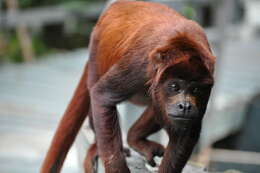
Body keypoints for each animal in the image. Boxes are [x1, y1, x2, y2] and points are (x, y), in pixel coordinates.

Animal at [41, 0, 215, 173]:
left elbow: (187, 129)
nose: (185, 106)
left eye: (196, 89)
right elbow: (101, 96)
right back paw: (98, 146)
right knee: (94, 90)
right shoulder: (138, 64)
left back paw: (135, 138)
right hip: (96, 52)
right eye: (174, 86)